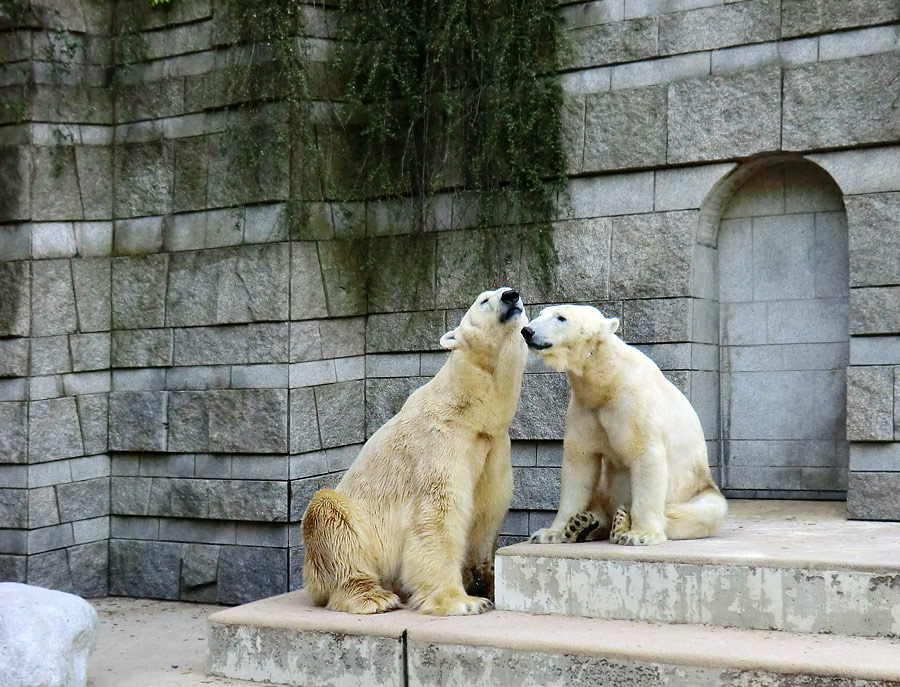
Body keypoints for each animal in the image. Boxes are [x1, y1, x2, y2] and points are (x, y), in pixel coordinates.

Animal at [302, 288, 528, 616]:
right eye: (484, 300)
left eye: (508, 291)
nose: (511, 296)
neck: (471, 410)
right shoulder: (438, 441)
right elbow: (437, 515)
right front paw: (463, 601)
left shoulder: (493, 447)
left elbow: (486, 515)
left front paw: (487, 584)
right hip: (351, 527)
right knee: (331, 515)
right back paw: (374, 597)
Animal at [524, 306, 728, 548]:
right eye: (540, 314)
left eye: (561, 318)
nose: (527, 330)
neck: (606, 380)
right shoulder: (584, 410)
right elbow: (579, 466)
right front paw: (551, 532)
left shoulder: (635, 404)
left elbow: (646, 457)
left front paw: (640, 534)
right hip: (607, 487)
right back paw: (584, 524)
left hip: (699, 490)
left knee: (700, 512)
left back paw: (621, 520)